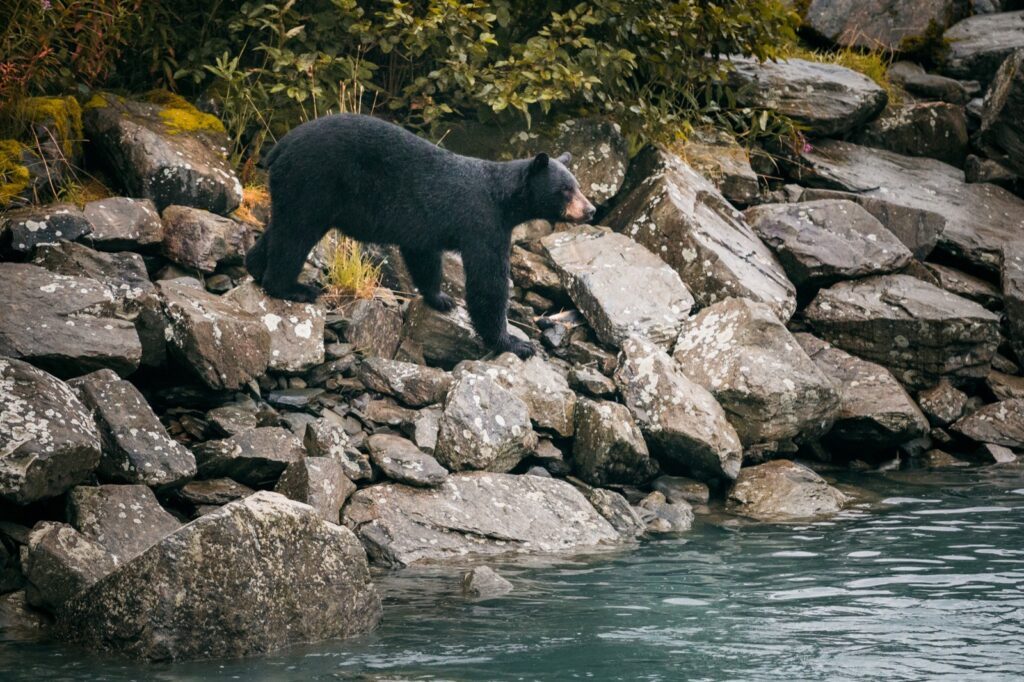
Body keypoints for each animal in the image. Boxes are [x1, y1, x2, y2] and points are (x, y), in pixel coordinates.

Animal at [245, 114, 593, 358]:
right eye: (565, 190)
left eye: (577, 186)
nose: (590, 210)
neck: (503, 199)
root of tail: (280, 146)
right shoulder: (483, 223)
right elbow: (487, 281)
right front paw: (513, 343)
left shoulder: (426, 227)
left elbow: (424, 256)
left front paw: (441, 299)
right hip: (314, 182)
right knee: (295, 234)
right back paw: (292, 288)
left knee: (281, 228)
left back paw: (254, 267)